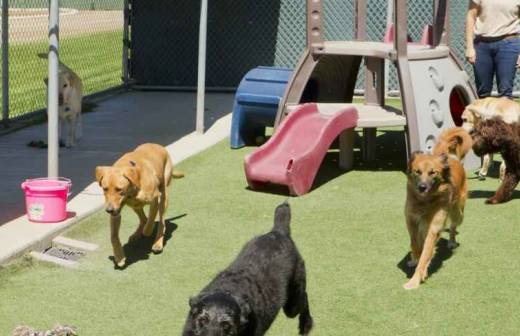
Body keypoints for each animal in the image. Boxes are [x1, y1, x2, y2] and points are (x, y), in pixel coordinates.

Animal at [183, 202, 312, 336]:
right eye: (202, 320)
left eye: (226, 325)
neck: (229, 289)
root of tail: (278, 231)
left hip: (292, 303)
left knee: (305, 297)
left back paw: (305, 325)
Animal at [404, 127, 474, 290]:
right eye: (417, 172)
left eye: (432, 172)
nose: (422, 187)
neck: (424, 202)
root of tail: (451, 157)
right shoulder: (411, 221)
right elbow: (415, 244)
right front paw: (414, 258)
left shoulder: (433, 227)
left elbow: (425, 254)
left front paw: (415, 280)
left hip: (458, 213)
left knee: (453, 227)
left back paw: (452, 242)